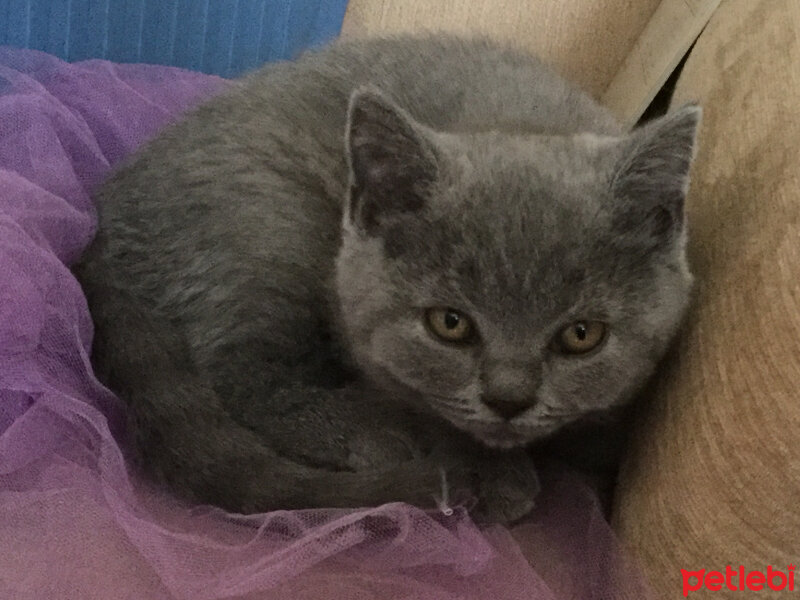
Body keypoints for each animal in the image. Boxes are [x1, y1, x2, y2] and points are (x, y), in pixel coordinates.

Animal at [75, 32, 700, 524]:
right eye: (450, 324)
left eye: (581, 335)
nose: (509, 398)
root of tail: (102, 226)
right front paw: (485, 468)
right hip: (269, 219)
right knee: (241, 373)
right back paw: (377, 429)